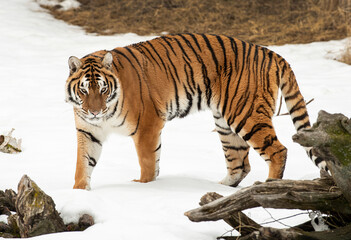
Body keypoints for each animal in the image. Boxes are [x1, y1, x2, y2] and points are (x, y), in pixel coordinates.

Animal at [65, 33, 324, 189]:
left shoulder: (148, 124)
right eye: (85, 90)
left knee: (278, 150)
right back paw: (218, 191)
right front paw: (79, 192)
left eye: (103, 89)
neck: (104, 116)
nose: (95, 112)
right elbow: (82, 164)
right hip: (225, 123)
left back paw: (268, 186)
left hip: (247, 114)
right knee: (240, 164)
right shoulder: (88, 131)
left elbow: (148, 162)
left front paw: (144, 186)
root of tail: (269, 52)